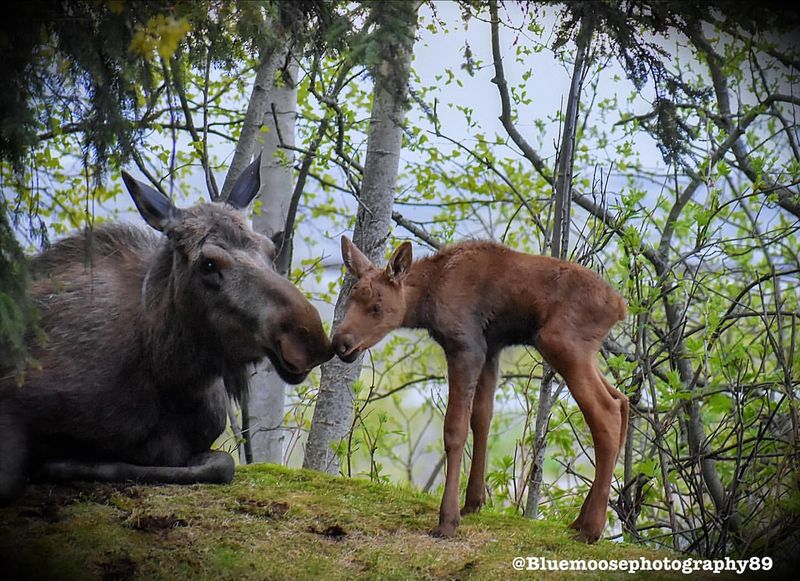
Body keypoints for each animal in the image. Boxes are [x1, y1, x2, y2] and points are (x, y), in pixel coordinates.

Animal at [332, 236, 632, 544]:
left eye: (376, 307)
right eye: (350, 299)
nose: (340, 343)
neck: (427, 300)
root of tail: (620, 307)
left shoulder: (466, 346)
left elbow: (455, 429)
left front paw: (448, 520)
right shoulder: (491, 349)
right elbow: (482, 418)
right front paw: (473, 502)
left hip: (559, 342)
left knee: (606, 413)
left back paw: (591, 528)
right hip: (582, 352)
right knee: (621, 399)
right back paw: (581, 520)